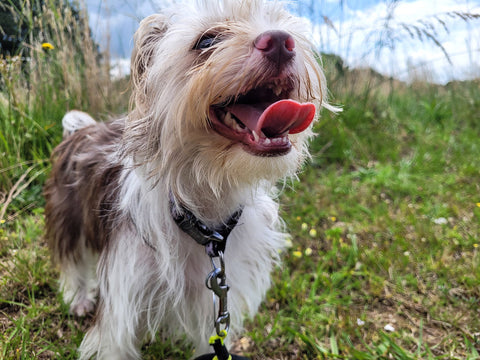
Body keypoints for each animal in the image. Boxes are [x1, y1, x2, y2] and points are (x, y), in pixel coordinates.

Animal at [46, 1, 334, 358]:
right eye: (206, 41)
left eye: (285, 27)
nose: (281, 41)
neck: (204, 216)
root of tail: (81, 129)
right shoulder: (120, 311)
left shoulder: (216, 301)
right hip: (69, 218)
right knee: (73, 263)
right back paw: (79, 299)